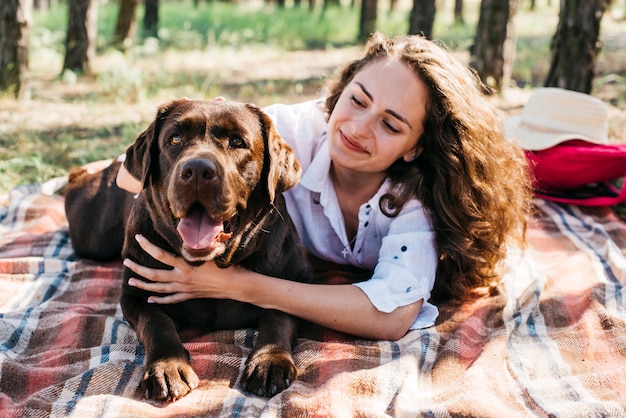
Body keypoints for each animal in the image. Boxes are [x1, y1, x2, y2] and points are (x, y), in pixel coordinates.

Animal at [119, 99, 310, 402]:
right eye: (175, 138)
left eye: (237, 141)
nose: (197, 170)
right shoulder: (134, 294)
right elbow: (155, 321)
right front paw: (167, 366)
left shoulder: (295, 281)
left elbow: (277, 315)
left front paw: (270, 361)